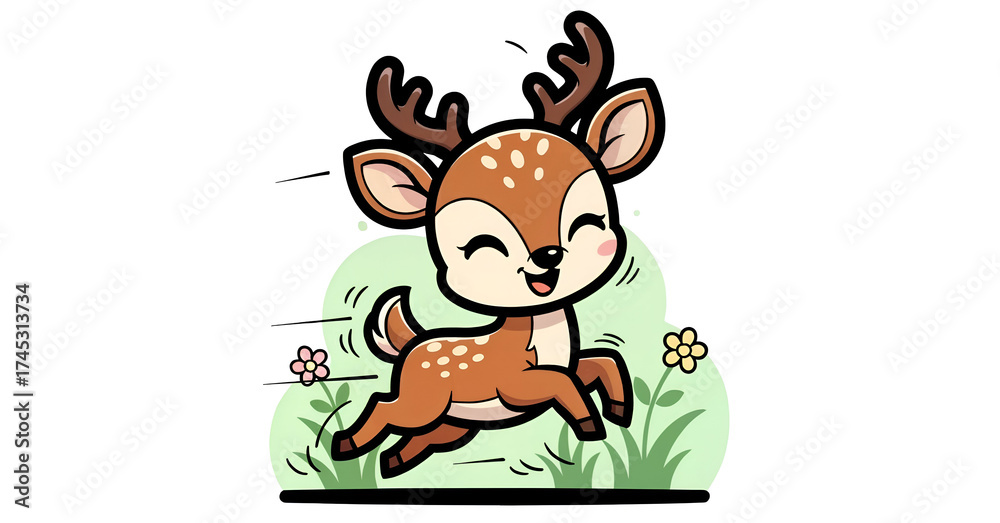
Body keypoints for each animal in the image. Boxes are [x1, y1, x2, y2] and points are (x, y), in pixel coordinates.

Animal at [332, 10, 665, 478]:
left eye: (588, 222)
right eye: (480, 246)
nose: (548, 258)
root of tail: (410, 346)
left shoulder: (568, 365)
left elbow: (602, 362)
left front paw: (617, 409)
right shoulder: (515, 385)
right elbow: (562, 382)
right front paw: (587, 421)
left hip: (451, 422)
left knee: (416, 440)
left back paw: (392, 461)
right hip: (422, 403)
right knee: (384, 405)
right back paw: (346, 444)